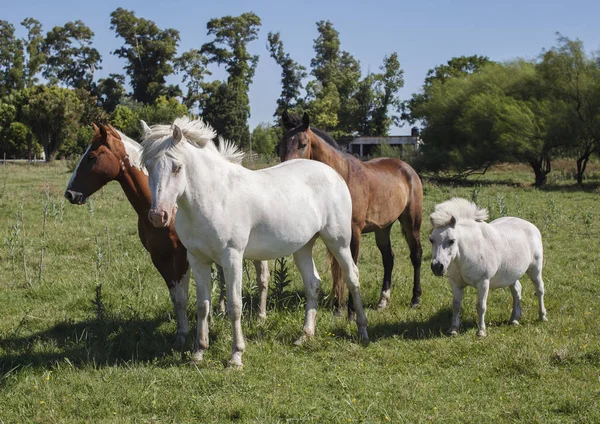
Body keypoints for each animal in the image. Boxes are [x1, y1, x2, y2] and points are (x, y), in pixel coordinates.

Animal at [63, 122, 270, 348]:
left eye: (91, 156)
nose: (70, 194)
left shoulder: (181, 257)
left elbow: (184, 296)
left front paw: (189, 332)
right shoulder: (159, 257)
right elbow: (176, 298)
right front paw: (183, 334)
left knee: (261, 277)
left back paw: (260, 316)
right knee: (223, 278)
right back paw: (221, 311)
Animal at [140, 117, 368, 368]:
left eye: (177, 168)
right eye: (148, 166)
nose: (157, 216)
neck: (213, 197)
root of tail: (334, 174)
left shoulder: (232, 257)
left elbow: (234, 305)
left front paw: (236, 356)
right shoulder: (198, 260)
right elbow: (203, 306)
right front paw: (198, 352)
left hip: (339, 242)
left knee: (352, 277)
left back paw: (362, 330)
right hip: (303, 247)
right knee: (313, 284)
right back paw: (305, 335)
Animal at [280, 111, 424, 316]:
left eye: (303, 144)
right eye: (281, 145)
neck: (342, 178)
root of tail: (407, 168)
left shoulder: (354, 232)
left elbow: (350, 267)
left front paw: (350, 310)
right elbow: (337, 268)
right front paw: (337, 306)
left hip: (411, 223)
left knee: (416, 255)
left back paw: (415, 299)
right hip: (383, 228)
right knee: (388, 259)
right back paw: (382, 301)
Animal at [426, 199, 548, 338]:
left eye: (451, 240)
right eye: (431, 240)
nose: (437, 267)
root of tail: (532, 226)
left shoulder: (483, 282)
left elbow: (481, 306)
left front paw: (481, 331)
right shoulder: (456, 283)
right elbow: (456, 306)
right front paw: (453, 329)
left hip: (535, 269)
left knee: (539, 289)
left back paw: (542, 316)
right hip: (511, 275)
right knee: (517, 291)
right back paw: (514, 319)